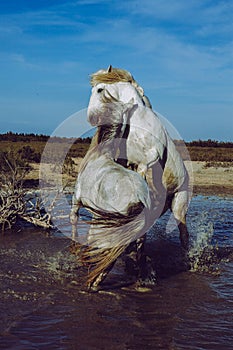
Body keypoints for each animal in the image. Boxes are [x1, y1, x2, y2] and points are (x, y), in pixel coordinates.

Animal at [70, 98, 152, 290]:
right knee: (138, 255)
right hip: (138, 235)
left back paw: (94, 283)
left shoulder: (76, 200)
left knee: (110, 258)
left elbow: (74, 222)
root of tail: (139, 198)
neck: (100, 154)